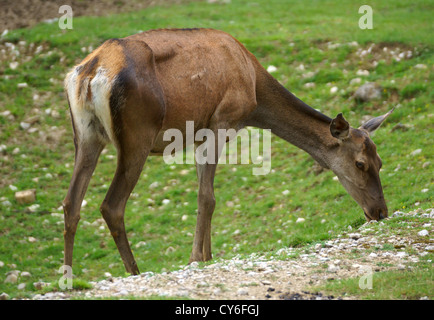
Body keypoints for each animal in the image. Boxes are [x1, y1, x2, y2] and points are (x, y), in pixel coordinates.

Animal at [63, 28, 394, 276]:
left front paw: (206, 256)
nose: (380, 212)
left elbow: (204, 193)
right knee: (111, 205)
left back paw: (68, 277)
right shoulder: (223, 119)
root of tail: (90, 74)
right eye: (360, 163)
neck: (255, 93)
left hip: (86, 134)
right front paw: (196, 258)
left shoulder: (199, 133)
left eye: (380, 161)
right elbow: (207, 197)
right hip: (137, 134)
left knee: (71, 202)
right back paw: (135, 271)